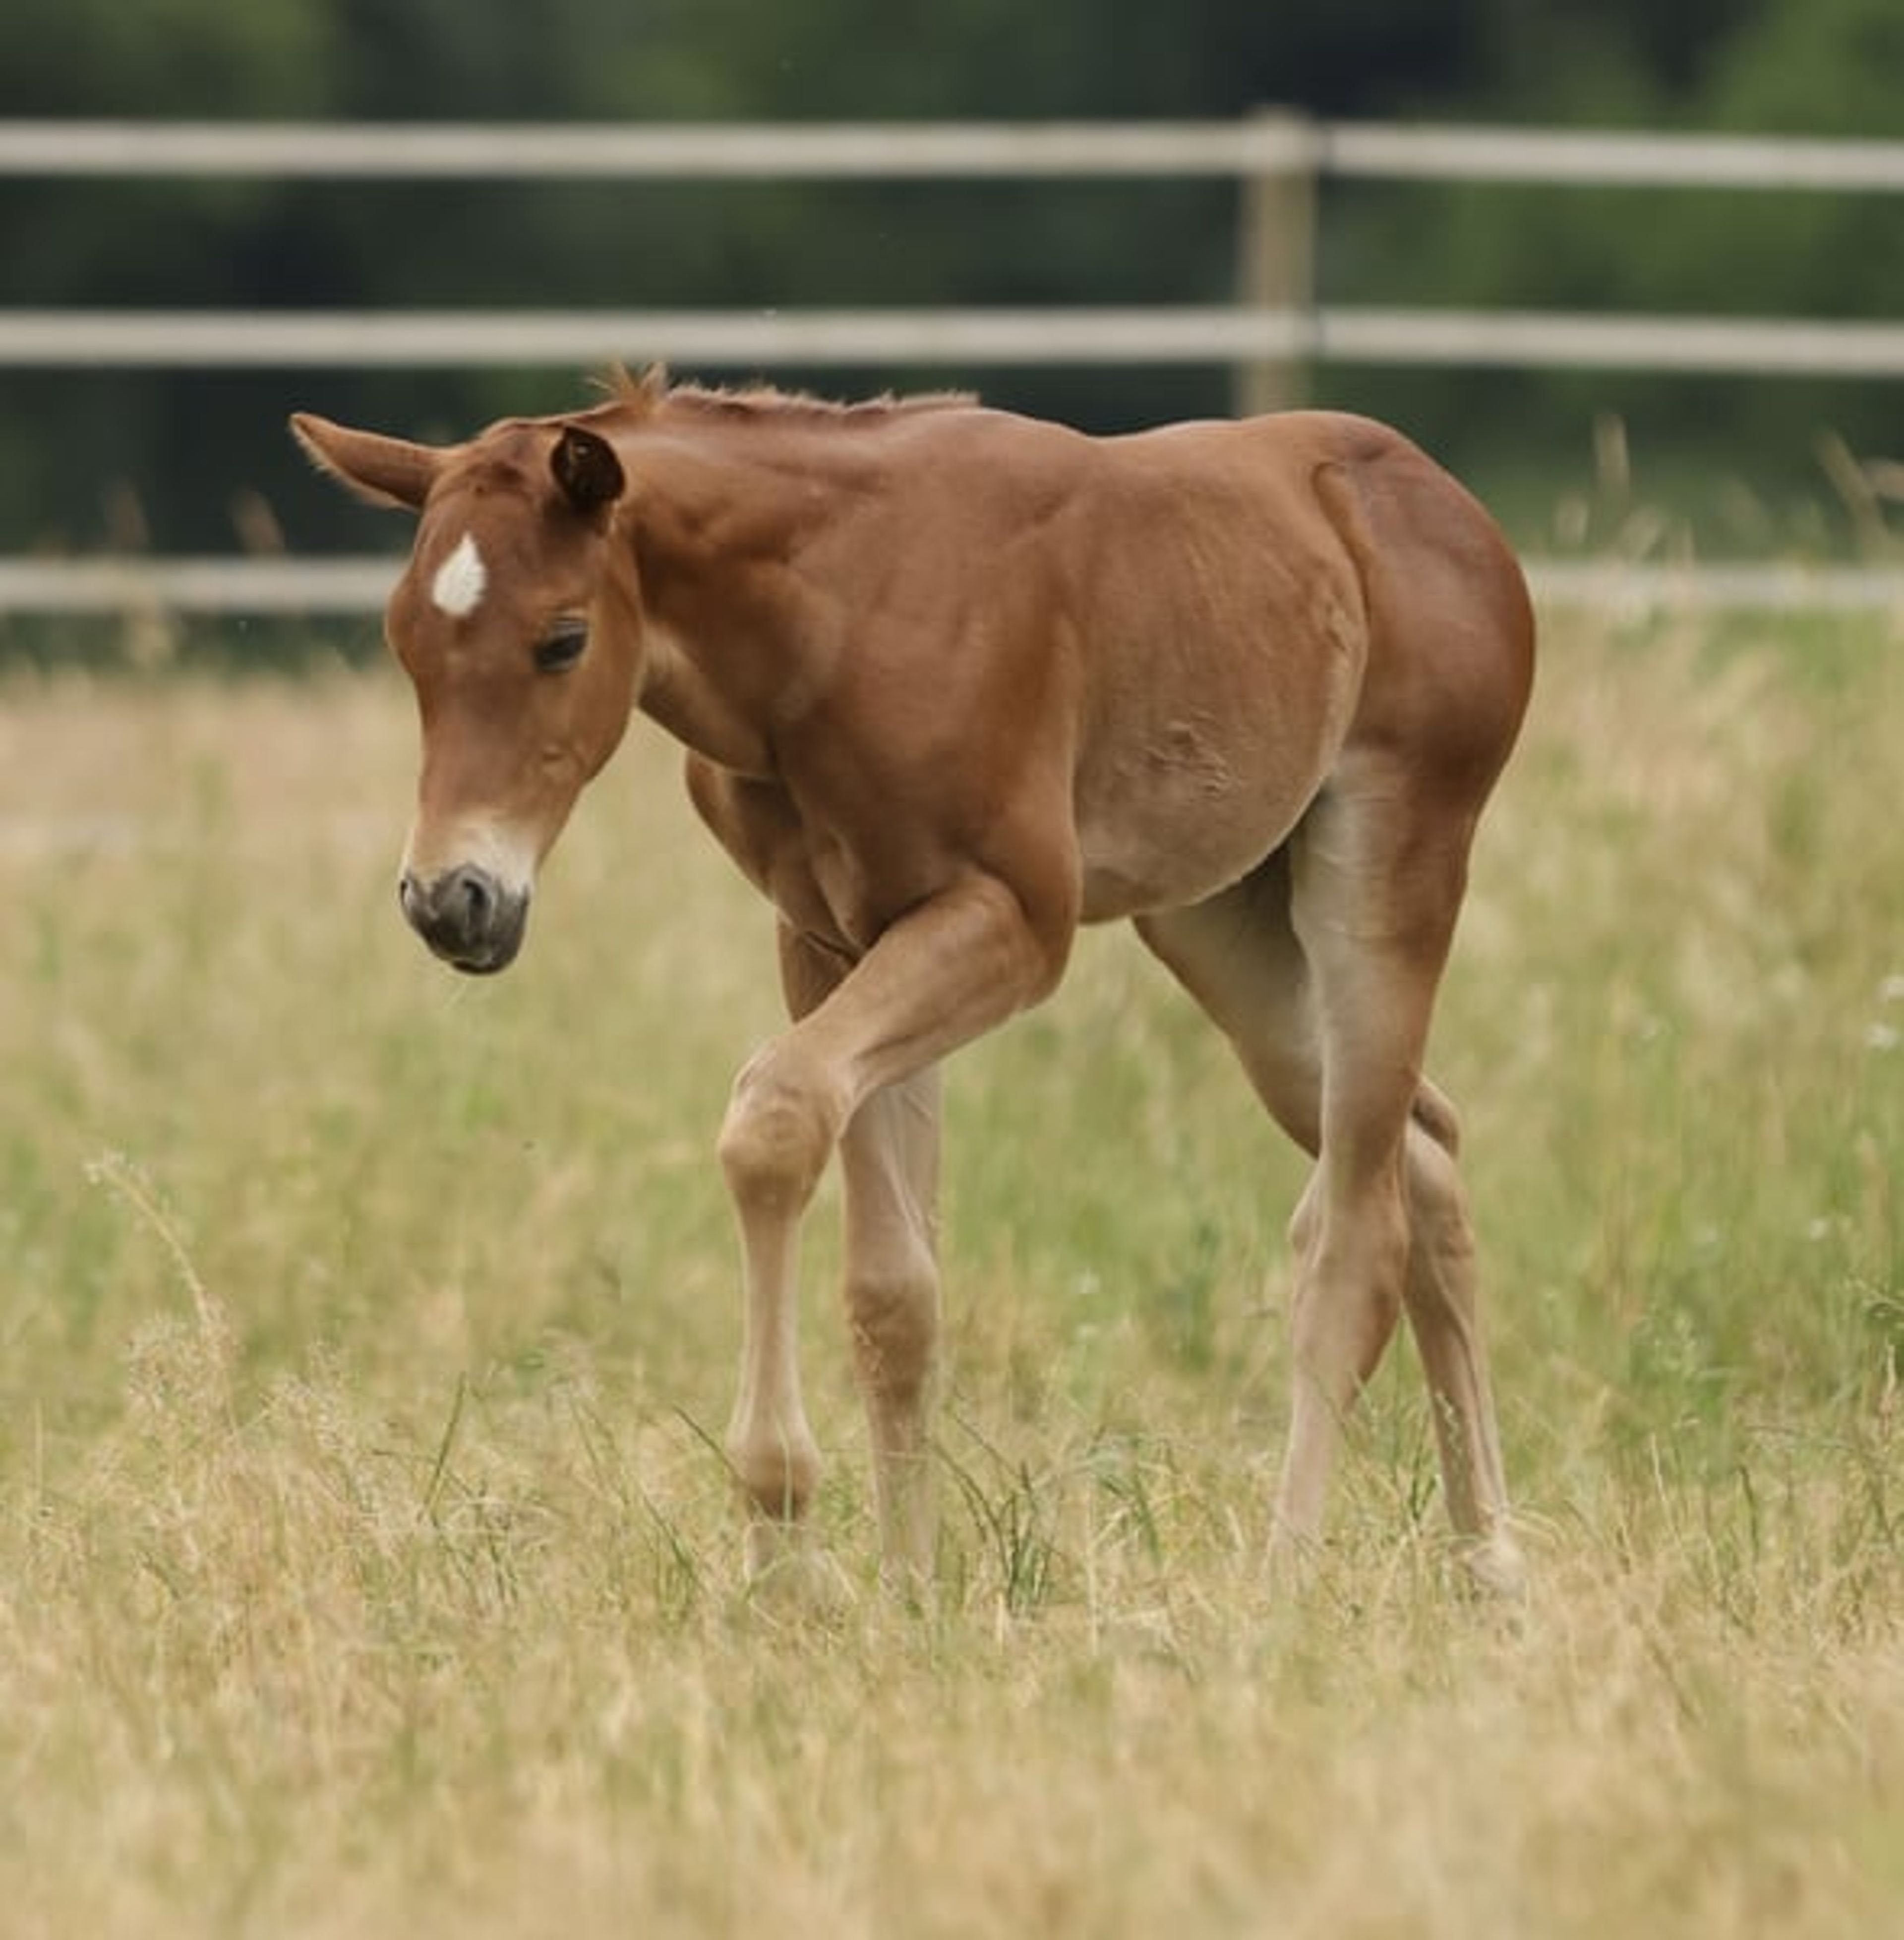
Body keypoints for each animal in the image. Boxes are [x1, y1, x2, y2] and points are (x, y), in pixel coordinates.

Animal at [291, 366, 1534, 1598]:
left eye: (562, 639)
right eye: (405, 643)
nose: (451, 899)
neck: (831, 622)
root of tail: (1457, 515)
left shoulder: (1012, 920)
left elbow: (777, 1118)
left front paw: (783, 1540)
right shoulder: (832, 940)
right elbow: (897, 1291)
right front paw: (908, 1589)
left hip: (1389, 862)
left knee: (1356, 1232)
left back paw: (1285, 1580)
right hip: (1220, 921)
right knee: (1425, 1151)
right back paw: (1491, 1564)